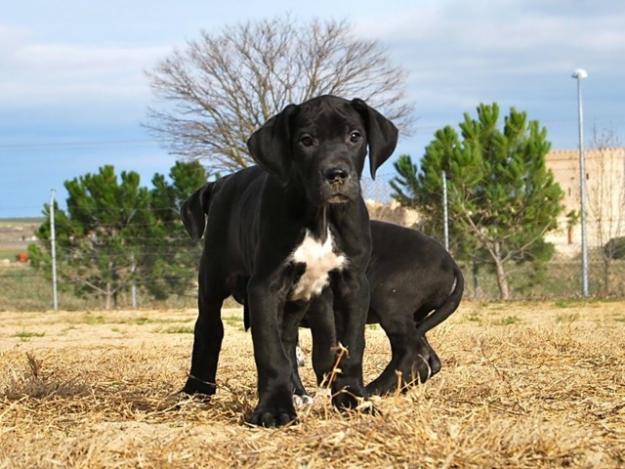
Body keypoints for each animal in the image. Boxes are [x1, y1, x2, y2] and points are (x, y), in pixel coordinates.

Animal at [179, 94, 394, 424]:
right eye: (306, 140)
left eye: (355, 136)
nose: (336, 174)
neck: (320, 215)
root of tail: (222, 183)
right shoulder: (265, 286)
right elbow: (269, 352)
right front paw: (274, 409)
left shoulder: (353, 285)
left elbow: (350, 346)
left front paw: (353, 399)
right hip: (212, 280)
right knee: (209, 329)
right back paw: (196, 391)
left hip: (298, 299)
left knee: (288, 339)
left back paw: (299, 392)